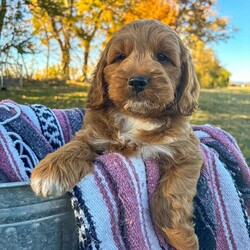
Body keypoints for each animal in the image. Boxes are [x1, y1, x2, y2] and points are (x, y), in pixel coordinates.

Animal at [30, 20, 203, 250]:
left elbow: (170, 198)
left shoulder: (188, 152)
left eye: (162, 57)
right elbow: (75, 146)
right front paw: (48, 171)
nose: (137, 81)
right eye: (120, 57)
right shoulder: (92, 135)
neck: (136, 116)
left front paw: (182, 239)